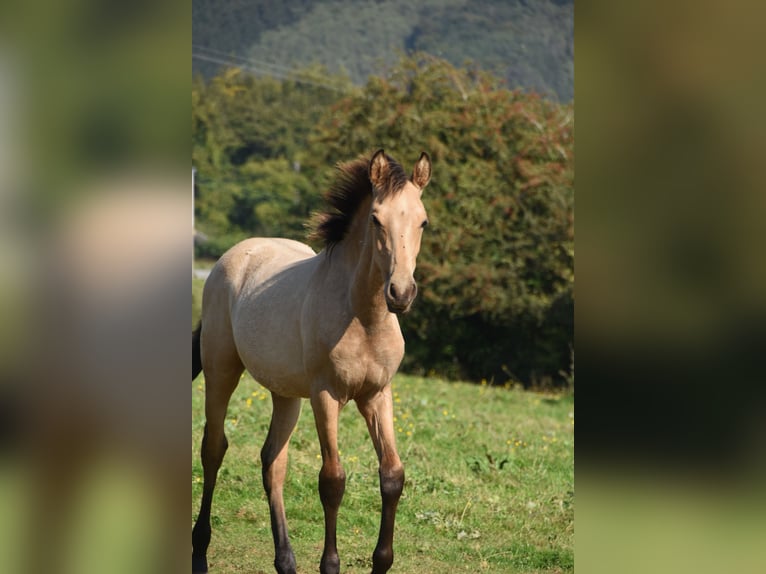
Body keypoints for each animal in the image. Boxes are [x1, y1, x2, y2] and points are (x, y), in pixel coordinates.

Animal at [192, 150, 432, 574]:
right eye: (376, 219)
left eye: (423, 221)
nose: (401, 293)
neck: (363, 317)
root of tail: (230, 258)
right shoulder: (326, 395)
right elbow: (332, 480)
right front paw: (329, 564)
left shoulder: (377, 395)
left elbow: (392, 475)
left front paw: (382, 561)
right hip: (222, 371)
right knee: (213, 448)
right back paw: (200, 553)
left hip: (285, 394)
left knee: (273, 461)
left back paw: (286, 562)